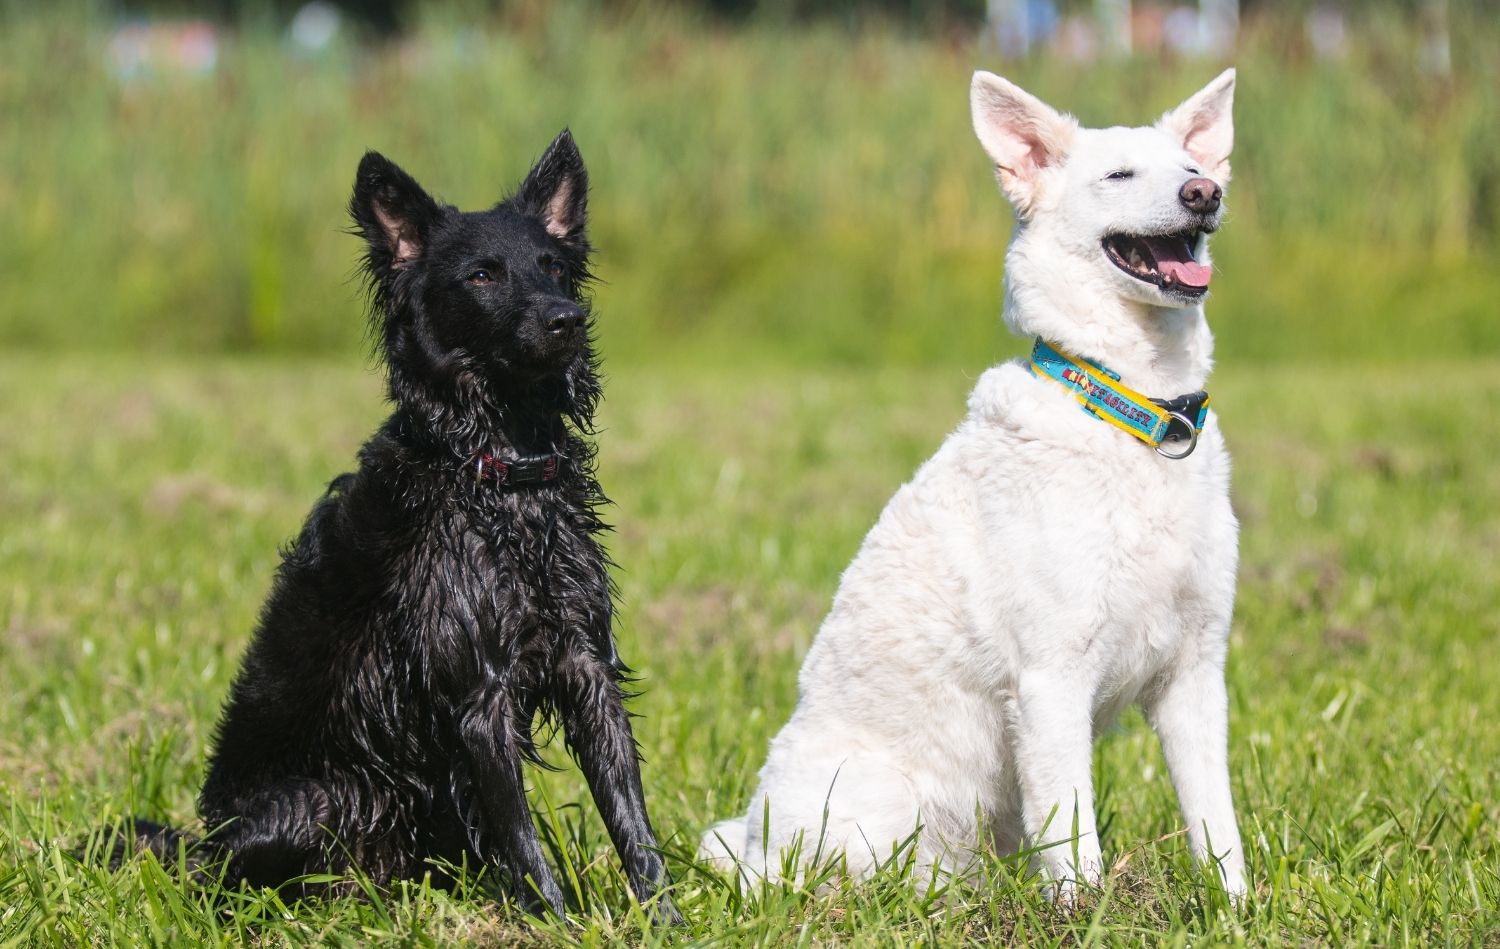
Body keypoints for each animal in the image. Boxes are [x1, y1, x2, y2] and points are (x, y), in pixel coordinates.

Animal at [118, 129, 681, 923]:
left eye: (553, 267)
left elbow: (632, 819)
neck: (499, 473)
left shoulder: (587, 665)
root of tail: (203, 841)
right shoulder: (478, 693)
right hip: (320, 800)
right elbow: (525, 843)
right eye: (482, 275)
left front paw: (668, 921)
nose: (567, 320)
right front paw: (557, 925)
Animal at [702, 70, 1242, 899]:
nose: (1204, 192)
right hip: (878, 807)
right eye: (1120, 175)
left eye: (1191, 164)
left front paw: (1238, 907)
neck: (1133, 411)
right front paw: (1086, 913)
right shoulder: (1052, 680)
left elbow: (1218, 825)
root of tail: (756, 837)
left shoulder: (1195, 675)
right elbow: (1073, 834)